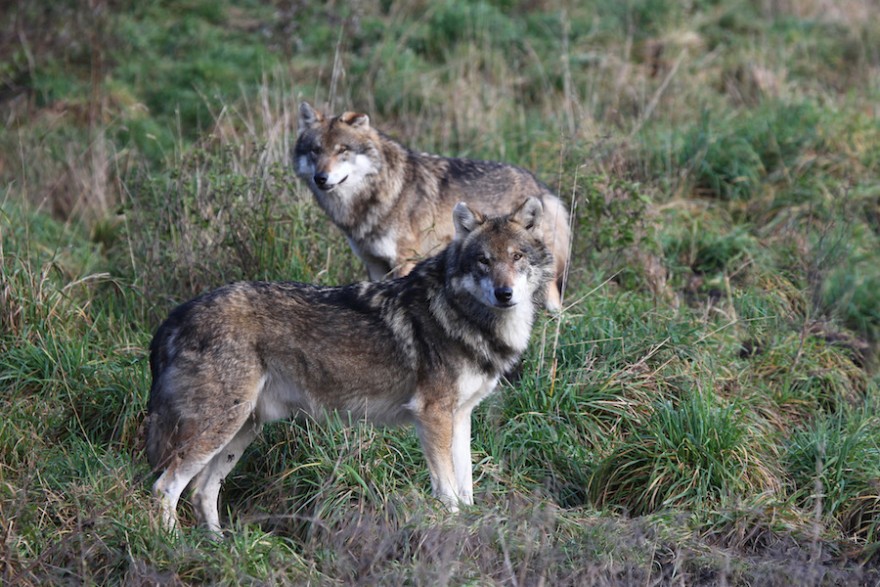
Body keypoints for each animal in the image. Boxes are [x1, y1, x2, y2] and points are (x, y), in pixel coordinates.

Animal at [147, 199, 552, 536]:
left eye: (517, 256)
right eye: (484, 260)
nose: (504, 293)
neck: (462, 314)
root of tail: (175, 315)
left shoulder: (461, 415)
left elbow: (465, 487)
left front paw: (470, 526)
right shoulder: (432, 415)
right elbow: (448, 492)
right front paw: (455, 534)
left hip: (241, 430)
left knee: (201, 491)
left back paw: (218, 546)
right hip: (219, 428)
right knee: (165, 487)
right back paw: (175, 547)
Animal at [292, 101, 576, 312]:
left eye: (342, 150)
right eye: (315, 150)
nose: (320, 178)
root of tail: (539, 185)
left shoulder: (404, 261)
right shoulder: (374, 264)